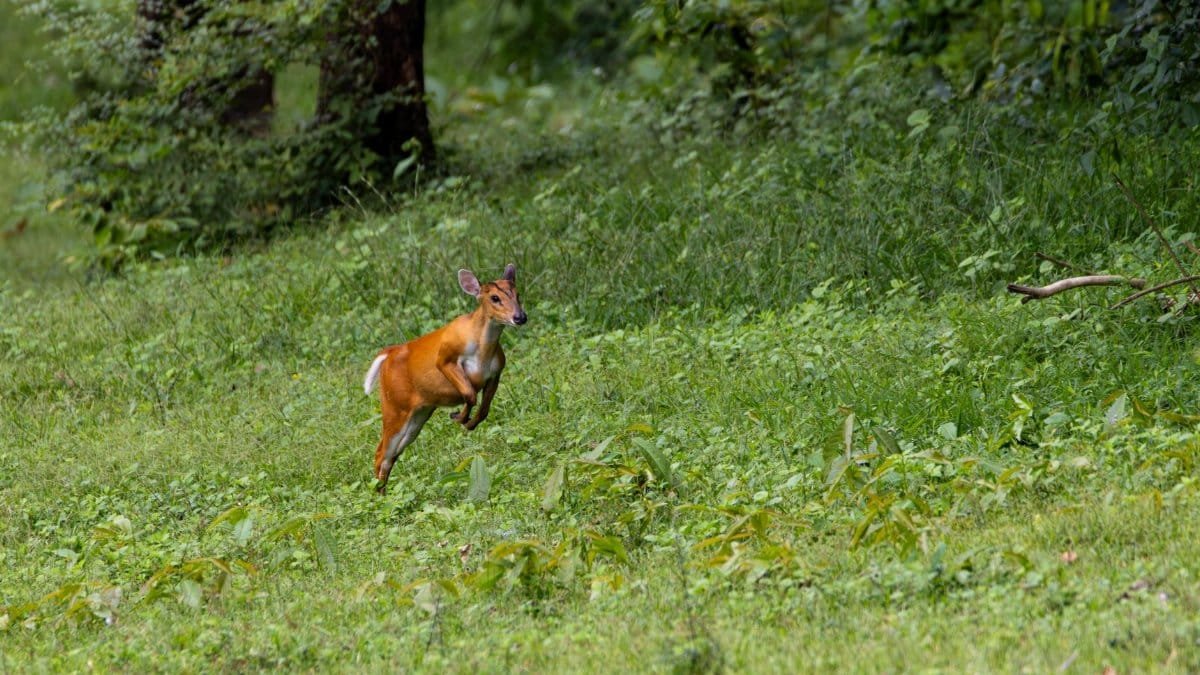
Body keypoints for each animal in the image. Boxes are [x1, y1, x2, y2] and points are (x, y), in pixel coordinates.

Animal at [363, 264, 526, 495]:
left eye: (518, 295)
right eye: (494, 298)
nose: (520, 317)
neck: (483, 352)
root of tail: (388, 354)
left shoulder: (496, 373)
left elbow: (483, 410)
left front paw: (468, 422)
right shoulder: (445, 356)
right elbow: (469, 394)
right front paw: (459, 417)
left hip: (418, 415)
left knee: (389, 456)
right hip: (394, 405)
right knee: (380, 453)